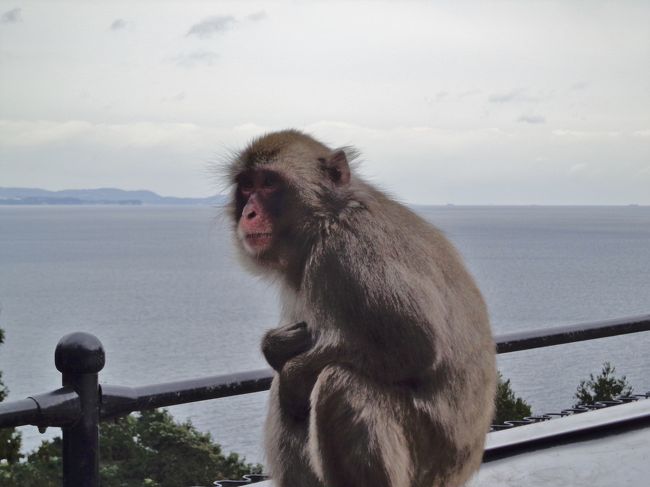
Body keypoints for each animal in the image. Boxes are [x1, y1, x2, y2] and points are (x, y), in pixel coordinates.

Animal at [225, 131, 494, 487]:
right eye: (246, 186)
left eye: (269, 183)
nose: (249, 213)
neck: (328, 217)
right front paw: (278, 344)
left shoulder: (347, 252)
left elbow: (415, 345)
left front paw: (292, 372)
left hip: (430, 459)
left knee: (339, 384)